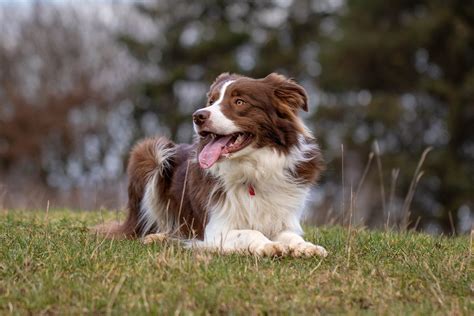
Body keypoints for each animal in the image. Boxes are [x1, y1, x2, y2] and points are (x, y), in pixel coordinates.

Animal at [94, 72, 328, 256]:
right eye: (211, 101)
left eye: (239, 101)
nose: (198, 116)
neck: (252, 169)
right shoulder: (216, 229)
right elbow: (250, 232)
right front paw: (268, 245)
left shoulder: (284, 220)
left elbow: (291, 236)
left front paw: (305, 247)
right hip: (151, 152)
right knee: (146, 227)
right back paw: (156, 237)